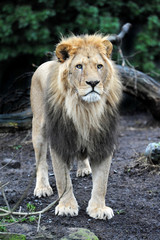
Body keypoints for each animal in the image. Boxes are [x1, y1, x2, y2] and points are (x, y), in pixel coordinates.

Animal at [30, 33, 121, 219]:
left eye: (99, 66)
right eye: (79, 66)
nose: (93, 83)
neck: (85, 110)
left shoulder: (104, 140)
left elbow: (101, 182)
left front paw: (98, 209)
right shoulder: (59, 141)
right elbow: (62, 179)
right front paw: (66, 206)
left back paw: (84, 168)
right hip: (39, 127)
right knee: (41, 161)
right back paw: (42, 188)